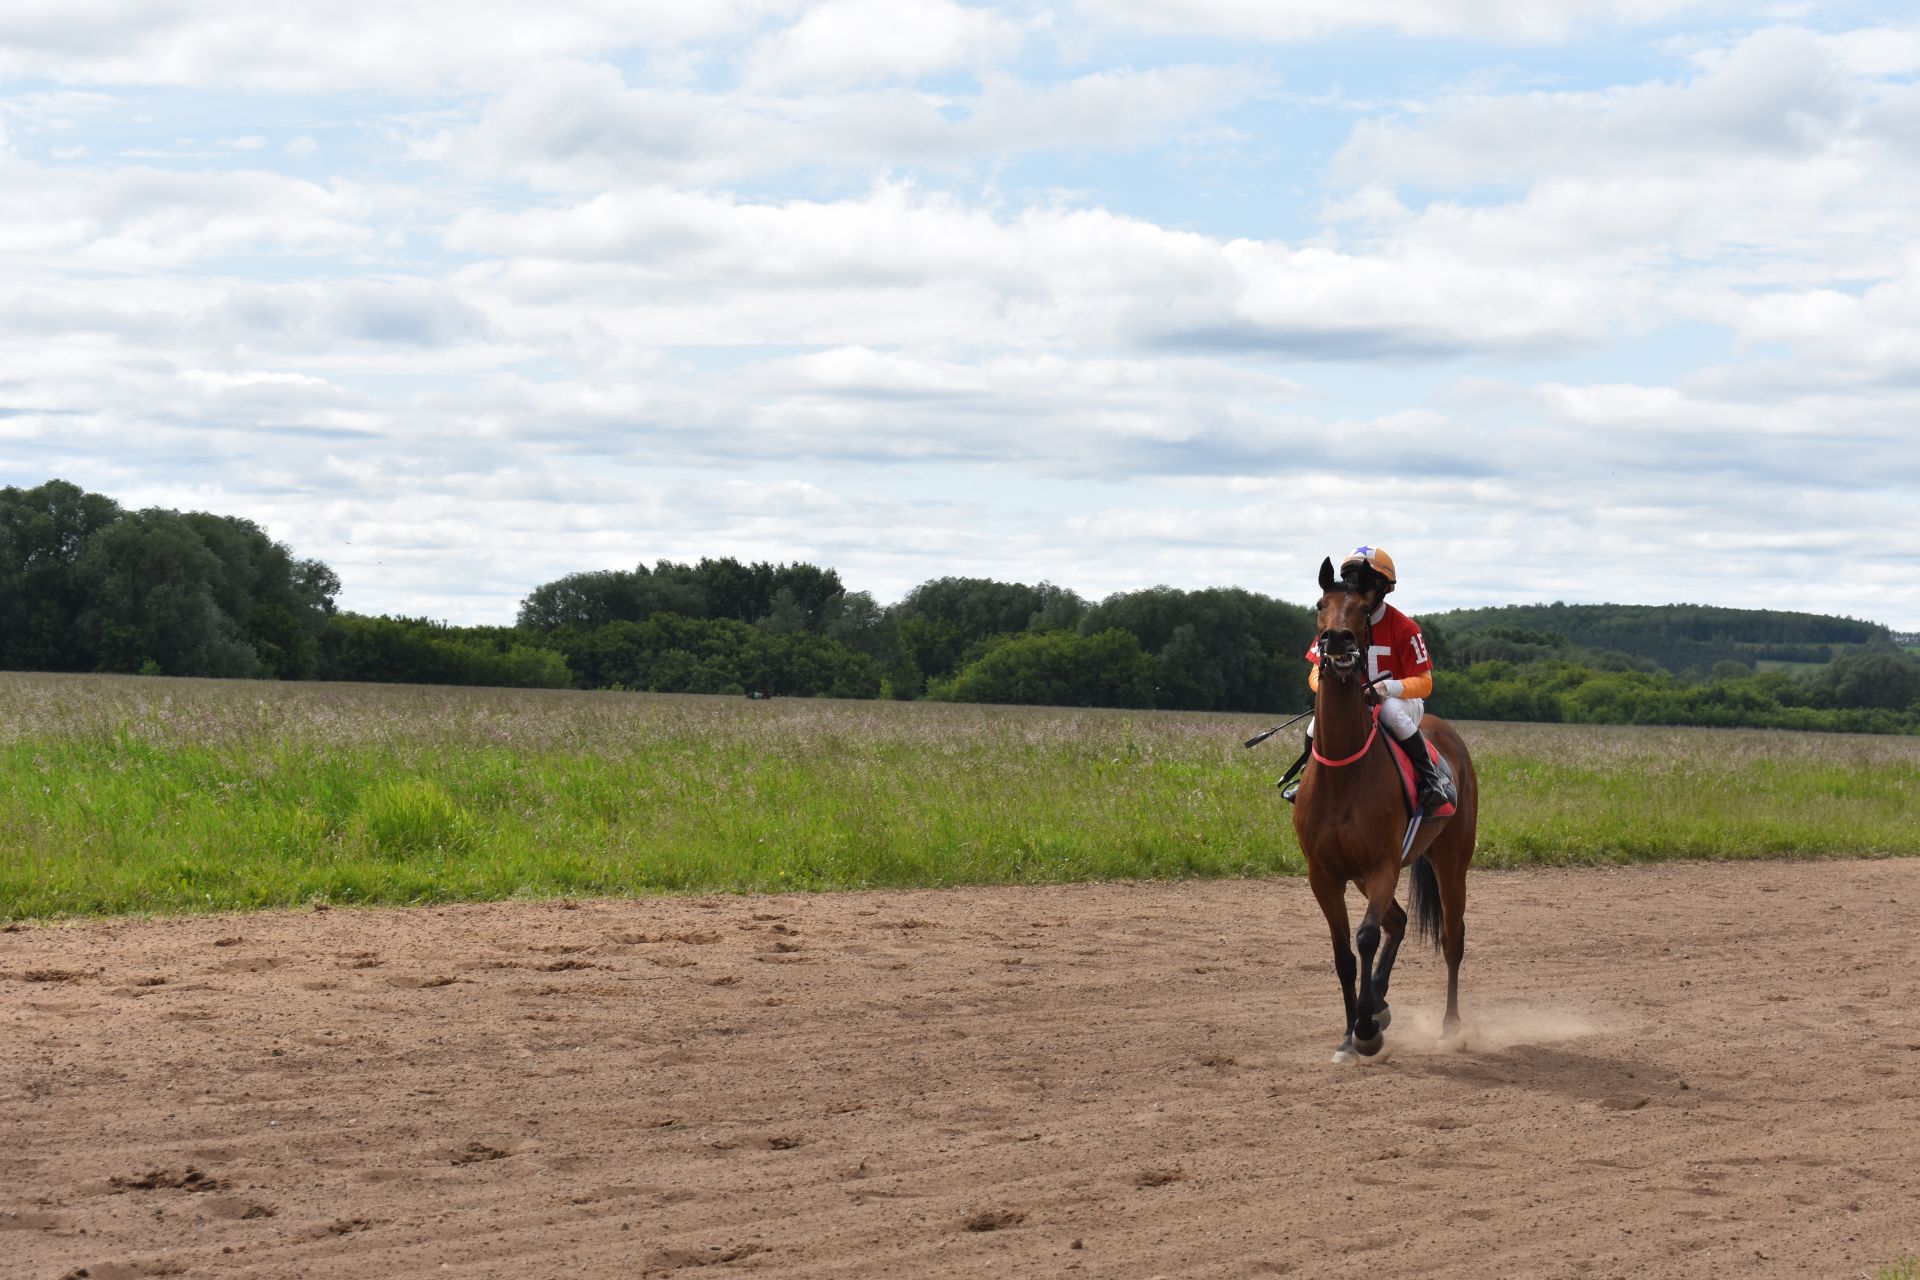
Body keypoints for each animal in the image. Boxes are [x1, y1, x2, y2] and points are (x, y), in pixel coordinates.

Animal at [1297, 556, 1474, 1059]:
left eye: (1360, 608)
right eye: (1320, 604)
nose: (1337, 640)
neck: (1343, 773)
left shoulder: (1382, 863)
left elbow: (1366, 936)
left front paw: (1366, 1031)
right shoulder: (1324, 873)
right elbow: (1343, 954)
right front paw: (1350, 1032)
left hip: (1452, 860)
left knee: (1451, 939)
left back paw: (1448, 1026)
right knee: (1399, 919)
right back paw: (1378, 1002)